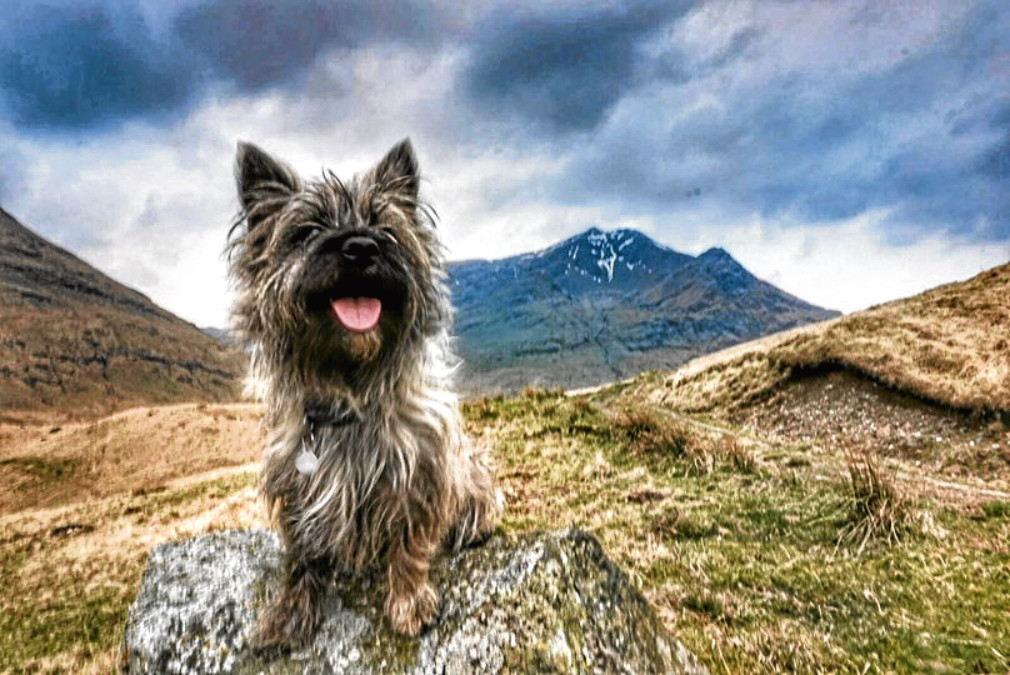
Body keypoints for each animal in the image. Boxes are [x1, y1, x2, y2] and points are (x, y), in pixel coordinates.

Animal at [227, 138, 498, 646]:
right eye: (308, 230)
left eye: (383, 228)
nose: (360, 246)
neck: (348, 386)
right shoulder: (294, 484)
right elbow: (301, 556)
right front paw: (290, 612)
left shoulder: (417, 469)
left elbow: (408, 541)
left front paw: (409, 601)